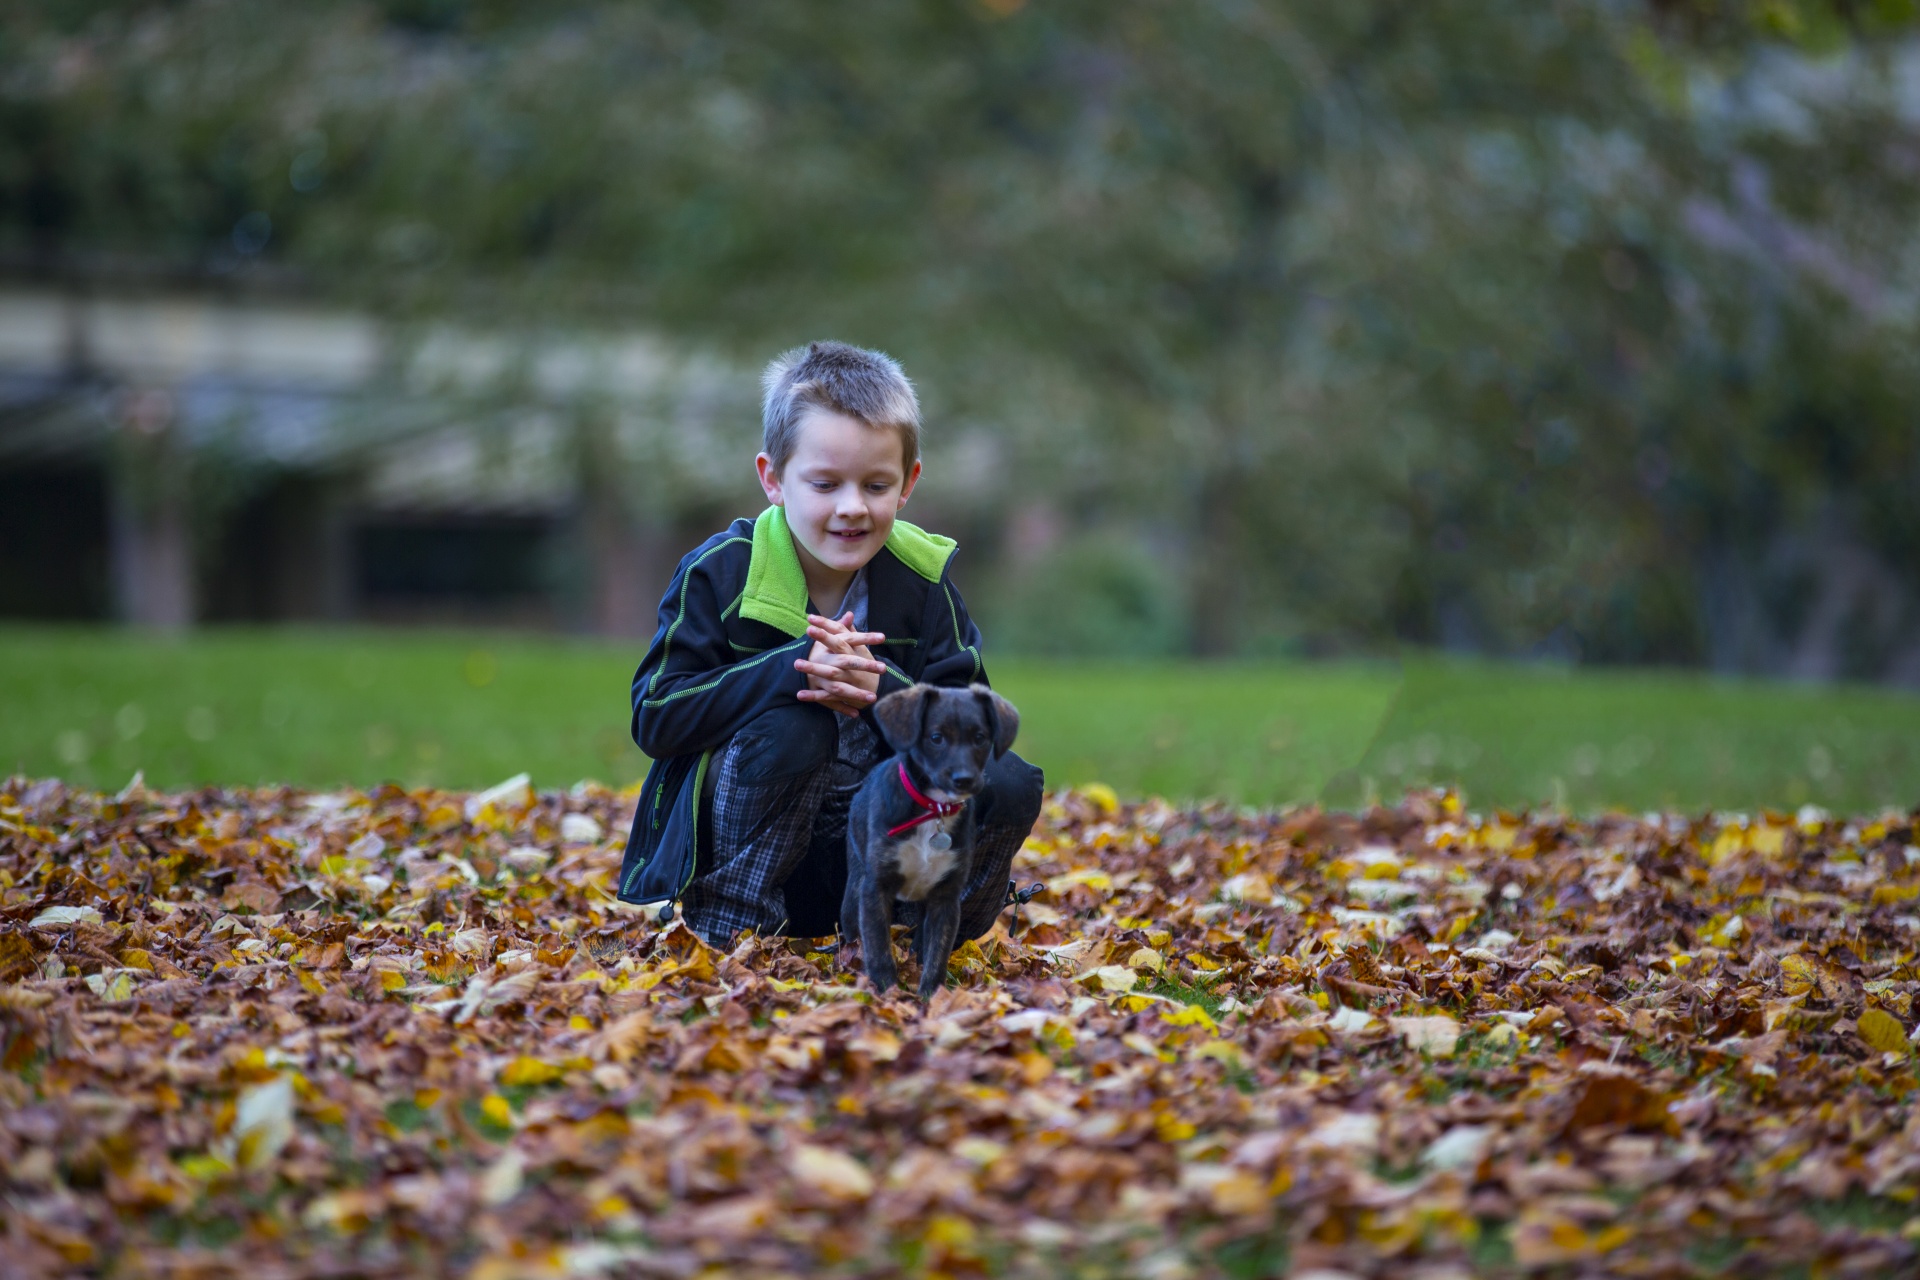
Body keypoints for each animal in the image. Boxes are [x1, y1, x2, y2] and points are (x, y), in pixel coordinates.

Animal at [840, 679, 1021, 997]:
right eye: (936, 738)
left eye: (980, 738)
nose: (964, 779)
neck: (934, 809)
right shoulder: (875, 888)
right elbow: (878, 947)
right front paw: (888, 993)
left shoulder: (946, 895)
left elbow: (938, 952)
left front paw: (931, 998)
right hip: (854, 887)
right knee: (853, 934)